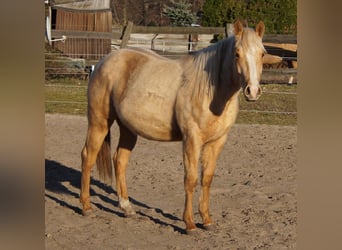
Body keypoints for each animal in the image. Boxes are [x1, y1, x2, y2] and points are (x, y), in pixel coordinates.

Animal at [81, 20, 268, 233]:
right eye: (237, 53)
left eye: (262, 53)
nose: (252, 91)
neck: (211, 91)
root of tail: (103, 61)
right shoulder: (191, 140)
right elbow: (191, 179)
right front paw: (189, 223)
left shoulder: (217, 142)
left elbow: (207, 179)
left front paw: (207, 220)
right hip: (99, 122)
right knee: (88, 157)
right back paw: (86, 207)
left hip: (128, 129)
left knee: (119, 161)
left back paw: (127, 208)